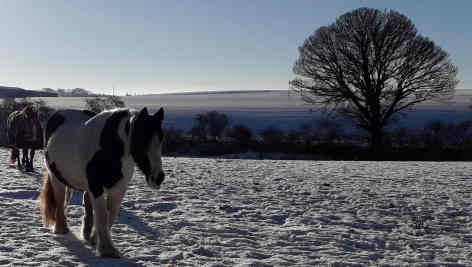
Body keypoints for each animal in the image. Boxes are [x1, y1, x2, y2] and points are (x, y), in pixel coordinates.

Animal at [39, 108, 167, 258]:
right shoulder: (96, 187)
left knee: (86, 201)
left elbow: (111, 214)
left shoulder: (119, 188)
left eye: (161, 139)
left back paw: (87, 234)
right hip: (55, 177)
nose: (158, 177)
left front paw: (96, 239)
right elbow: (102, 214)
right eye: (141, 138)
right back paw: (61, 228)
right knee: (60, 200)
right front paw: (107, 249)